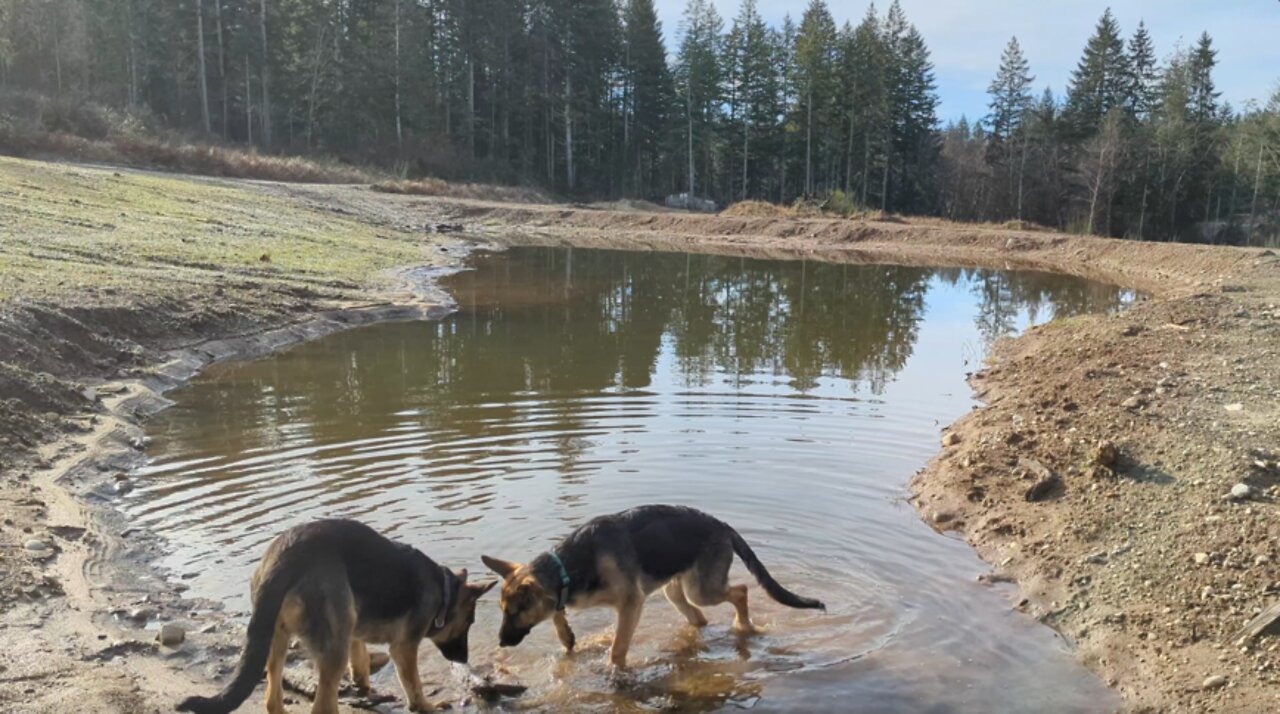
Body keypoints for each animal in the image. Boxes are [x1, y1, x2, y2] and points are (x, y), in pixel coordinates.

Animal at [179, 519, 494, 714]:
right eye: (469, 622)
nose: (464, 659)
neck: (444, 590)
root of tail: (285, 555)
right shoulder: (403, 648)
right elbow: (414, 687)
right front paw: (427, 706)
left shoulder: (353, 630)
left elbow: (361, 661)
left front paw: (365, 687)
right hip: (331, 651)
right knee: (321, 707)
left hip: (276, 640)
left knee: (272, 700)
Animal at [481, 506, 829, 670]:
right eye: (502, 611)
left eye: (516, 613)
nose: (500, 643)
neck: (567, 566)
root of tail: (722, 525)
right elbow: (557, 611)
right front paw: (566, 635)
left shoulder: (631, 604)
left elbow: (618, 647)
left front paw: (613, 671)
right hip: (674, 592)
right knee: (699, 618)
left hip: (701, 589)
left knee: (741, 590)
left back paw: (743, 625)